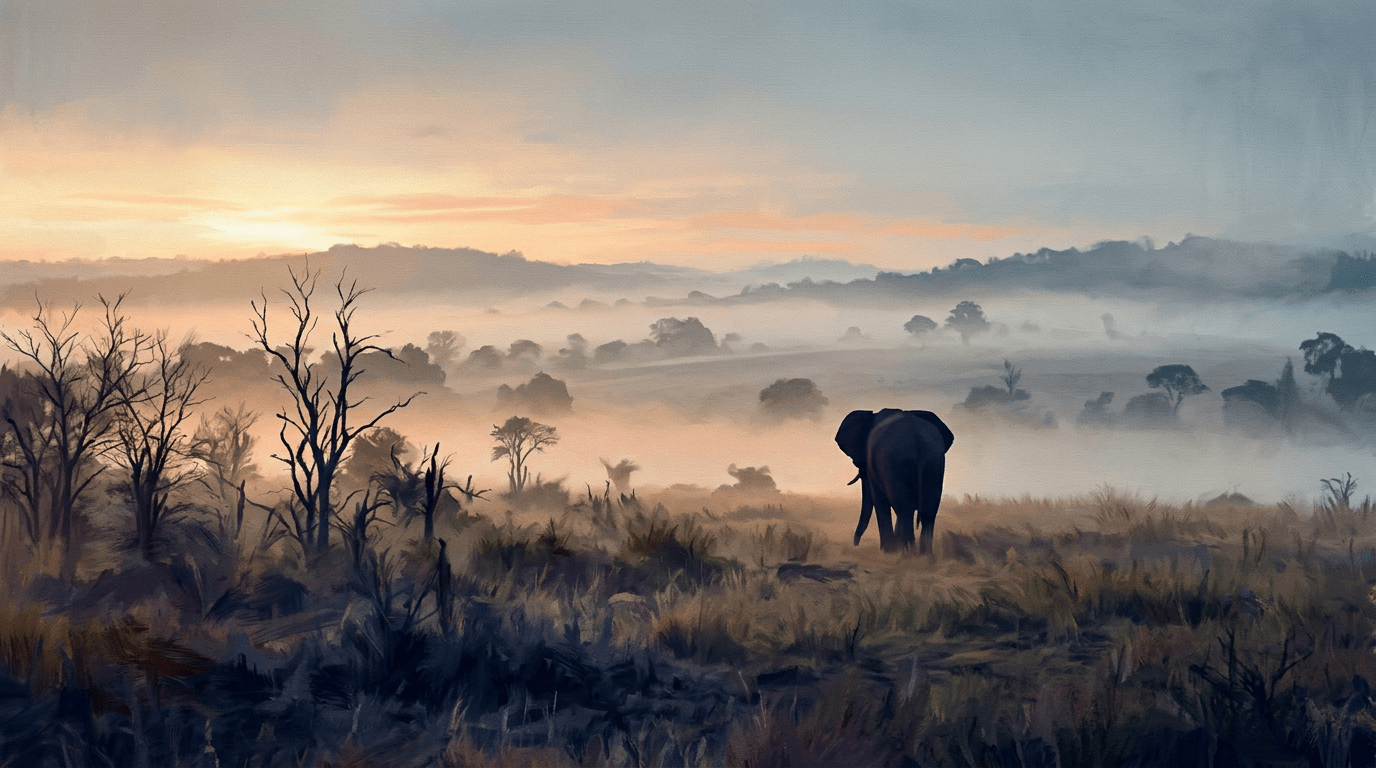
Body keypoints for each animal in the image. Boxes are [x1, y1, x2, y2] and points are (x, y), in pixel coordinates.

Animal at [835, 409, 955, 554]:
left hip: (894, 462)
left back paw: (909, 553)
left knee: (905, 509)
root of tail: (917, 438)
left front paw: (887, 551)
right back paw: (924, 555)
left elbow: (879, 500)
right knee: (928, 510)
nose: (856, 544)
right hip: (934, 461)